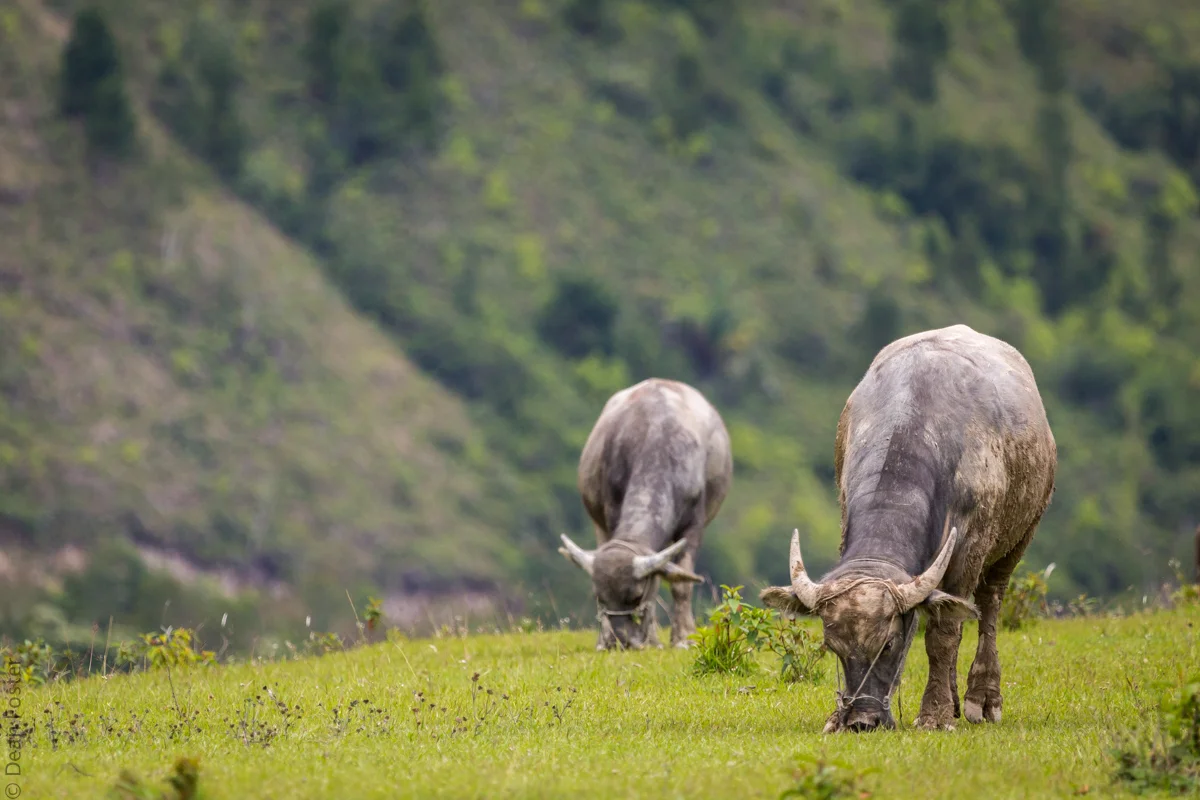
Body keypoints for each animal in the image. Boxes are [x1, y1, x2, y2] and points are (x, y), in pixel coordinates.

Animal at [559, 378, 733, 650]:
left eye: (636, 595)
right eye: (600, 596)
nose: (618, 641)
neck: (656, 441)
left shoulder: (694, 525)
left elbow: (680, 583)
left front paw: (684, 638)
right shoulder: (612, 512)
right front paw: (650, 638)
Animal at [761, 324, 1057, 732]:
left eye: (889, 644)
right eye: (833, 647)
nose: (862, 720)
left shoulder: (970, 548)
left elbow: (942, 634)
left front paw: (933, 714)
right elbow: (934, 622)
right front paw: (837, 717)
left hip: (1020, 537)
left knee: (988, 607)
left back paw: (982, 699)